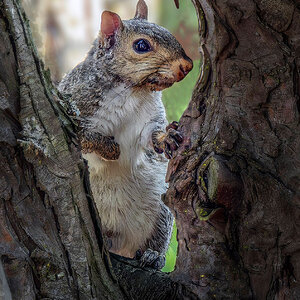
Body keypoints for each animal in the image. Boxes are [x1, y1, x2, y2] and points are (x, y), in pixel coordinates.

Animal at [58, 0, 192, 268]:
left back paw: (152, 256)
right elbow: (85, 138)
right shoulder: (74, 108)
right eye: (141, 46)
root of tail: (117, 240)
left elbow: (151, 135)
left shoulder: (147, 120)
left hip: (160, 214)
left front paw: (167, 138)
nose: (187, 66)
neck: (132, 90)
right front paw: (109, 149)